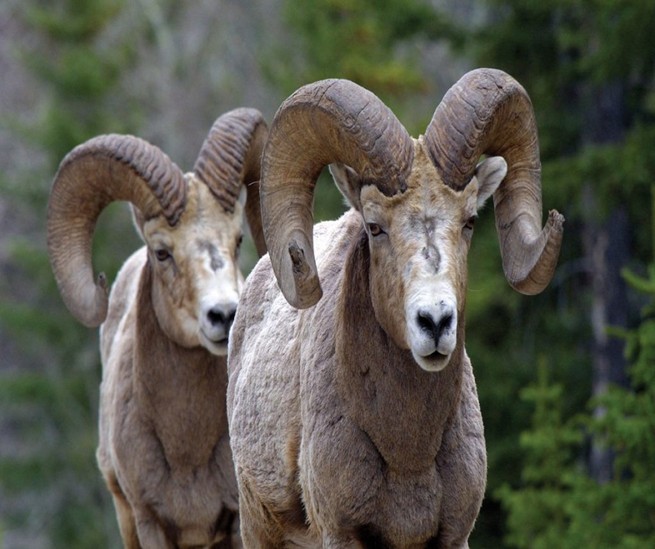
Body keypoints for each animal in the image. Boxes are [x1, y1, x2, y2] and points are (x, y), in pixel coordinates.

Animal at [47, 108, 268, 548]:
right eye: (162, 251)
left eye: (237, 240)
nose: (224, 314)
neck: (187, 453)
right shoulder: (148, 522)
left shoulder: (237, 520)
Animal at [227, 69, 564, 547]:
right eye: (374, 227)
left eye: (469, 222)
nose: (435, 322)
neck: (408, 452)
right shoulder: (341, 534)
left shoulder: (453, 536)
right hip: (258, 529)